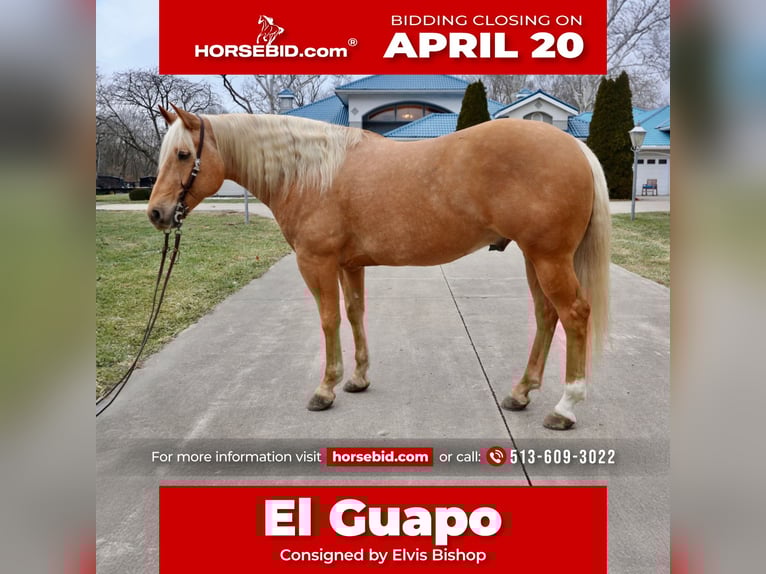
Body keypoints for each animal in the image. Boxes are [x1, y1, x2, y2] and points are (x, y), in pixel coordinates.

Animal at [148, 104, 611, 430]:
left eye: (184, 154)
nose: (156, 213)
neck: (310, 173)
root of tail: (576, 146)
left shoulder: (316, 262)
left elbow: (329, 319)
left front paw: (326, 389)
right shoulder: (349, 264)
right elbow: (354, 313)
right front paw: (357, 378)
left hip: (549, 258)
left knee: (574, 315)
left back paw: (565, 407)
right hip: (536, 259)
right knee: (547, 315)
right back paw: (521, 392)